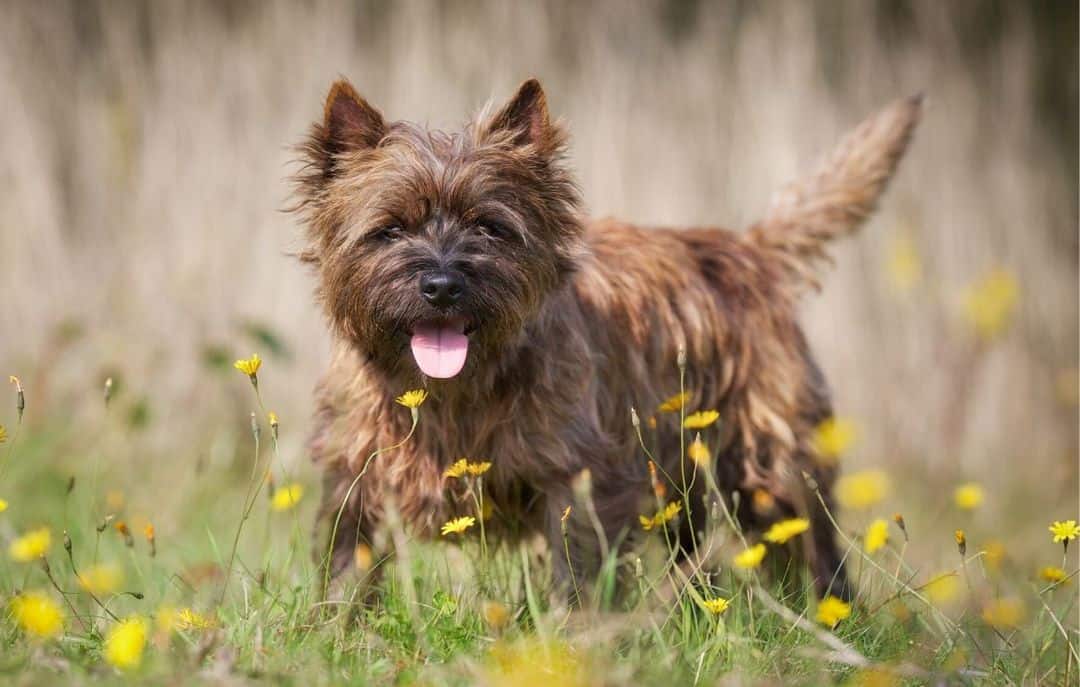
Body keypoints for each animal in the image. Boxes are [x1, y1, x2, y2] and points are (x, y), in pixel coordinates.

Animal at [293, 77, 920, 600]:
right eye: (390, 229)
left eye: (489, 227)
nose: (442, 285)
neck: (452, 391)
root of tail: (751, 249)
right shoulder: (356, 470)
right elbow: (346, 563)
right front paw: (337, 630)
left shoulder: (579, 476)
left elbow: (576, 571)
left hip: (769, 461)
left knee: (811, 545)